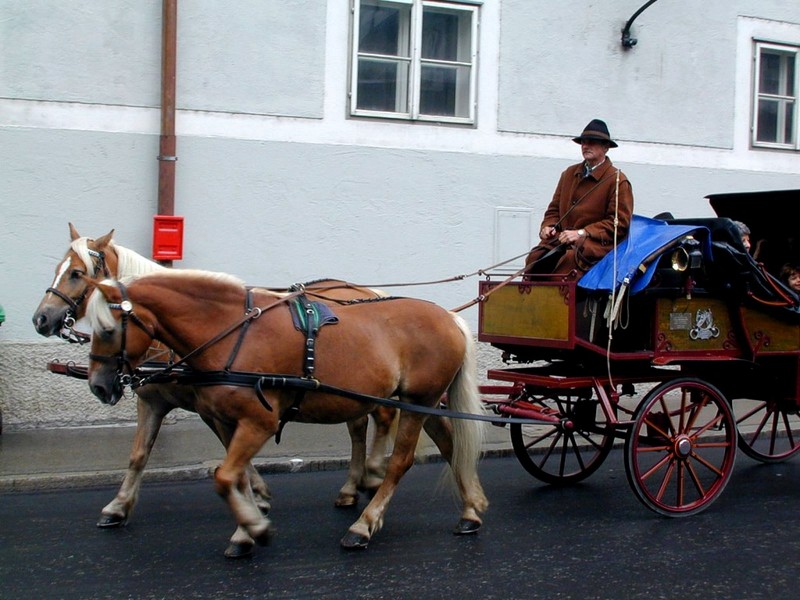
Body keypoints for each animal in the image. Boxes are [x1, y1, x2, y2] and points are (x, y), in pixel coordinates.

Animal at [32, 224, 400, 556]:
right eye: (58, 269)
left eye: (77, 273)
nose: (41, 319)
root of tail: (367, 292)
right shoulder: (154, 402)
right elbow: (139, 455)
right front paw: (118, 506)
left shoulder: (214, 408)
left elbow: (230, 462)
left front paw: (255, 504)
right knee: (358, 425)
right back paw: (352, 486)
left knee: (382, 417)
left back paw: (372, 475)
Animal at [83, 270, 488, 556]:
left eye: (108, 329)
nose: (98, 385)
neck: (229, 332)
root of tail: (449, 318)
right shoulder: (225, 421)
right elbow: (236, 476)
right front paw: (247, 528)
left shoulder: (259, 422)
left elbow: (224, 476)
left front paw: (255, 528)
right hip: (420, 401)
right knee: (450, 447)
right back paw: (469, 510)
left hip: (417, 401)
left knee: (400, 462)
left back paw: (364, 523)